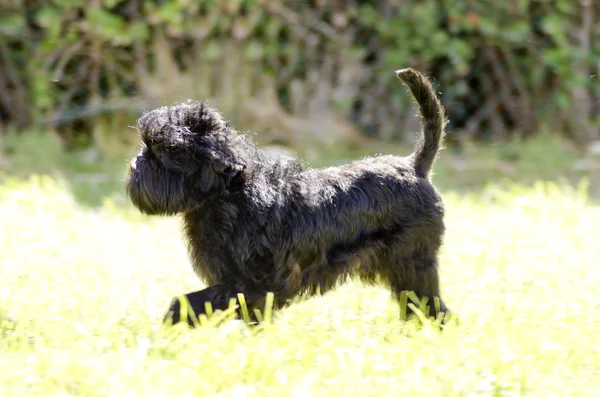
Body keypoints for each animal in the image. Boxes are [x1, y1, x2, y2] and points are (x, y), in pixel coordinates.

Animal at [129, 67, 452, 324]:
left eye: (167, 151)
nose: (136, 163)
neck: (230, 195)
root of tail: (414, 166)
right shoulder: (244, 288)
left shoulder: (247, 284)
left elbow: (186, 302)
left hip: (412, 261)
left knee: (430, 305)